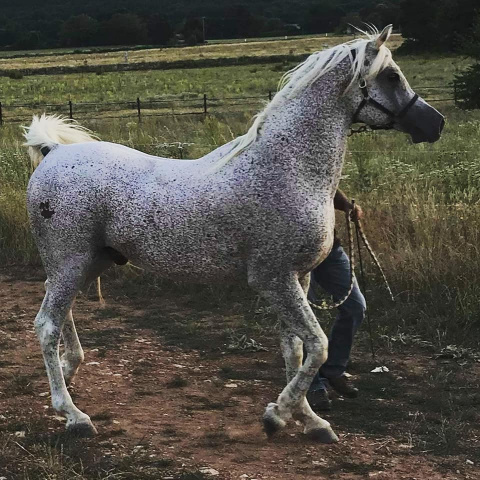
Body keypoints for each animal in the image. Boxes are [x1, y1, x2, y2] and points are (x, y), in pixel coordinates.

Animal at [22, 27, 442, 442]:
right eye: (391, 76)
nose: (435, 124)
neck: (289, 168)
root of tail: (54, 151)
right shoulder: (273, 278)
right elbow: (318, 346)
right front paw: (276, 415)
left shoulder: (298, 278)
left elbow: (295, 352)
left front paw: (310, 420)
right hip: (72, 262)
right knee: (47, 326)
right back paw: (73, 414)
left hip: (88, 262)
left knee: (62, 311)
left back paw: (71, 369)